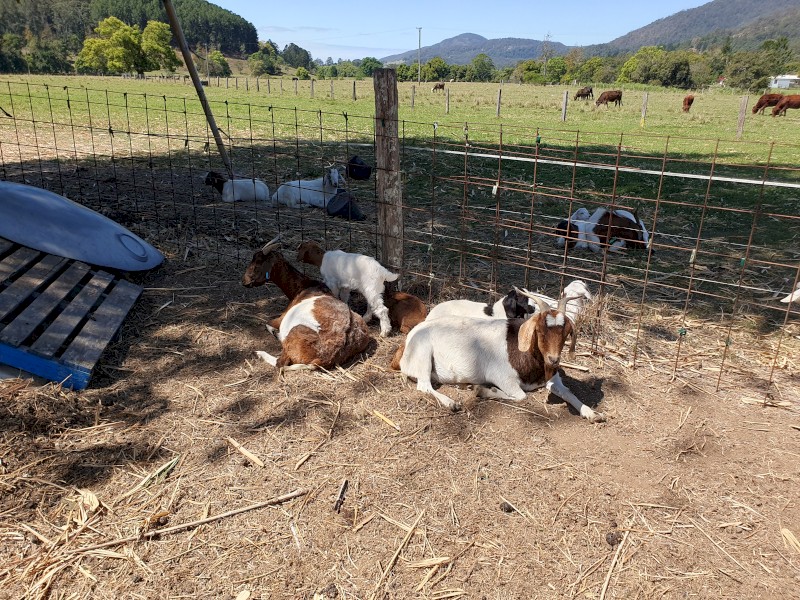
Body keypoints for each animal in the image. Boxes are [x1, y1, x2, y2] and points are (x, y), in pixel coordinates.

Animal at [391, 291, 605, 422]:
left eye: (566, 332)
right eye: (539, 331)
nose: (553, 360)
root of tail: (407, 343)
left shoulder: (552, 378)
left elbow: (568, 391)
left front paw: (592, 413)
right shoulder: (502, 377)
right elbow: (521, 396)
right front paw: (484, 390)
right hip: (423, 354)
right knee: (424, 386)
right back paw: (451, 403)